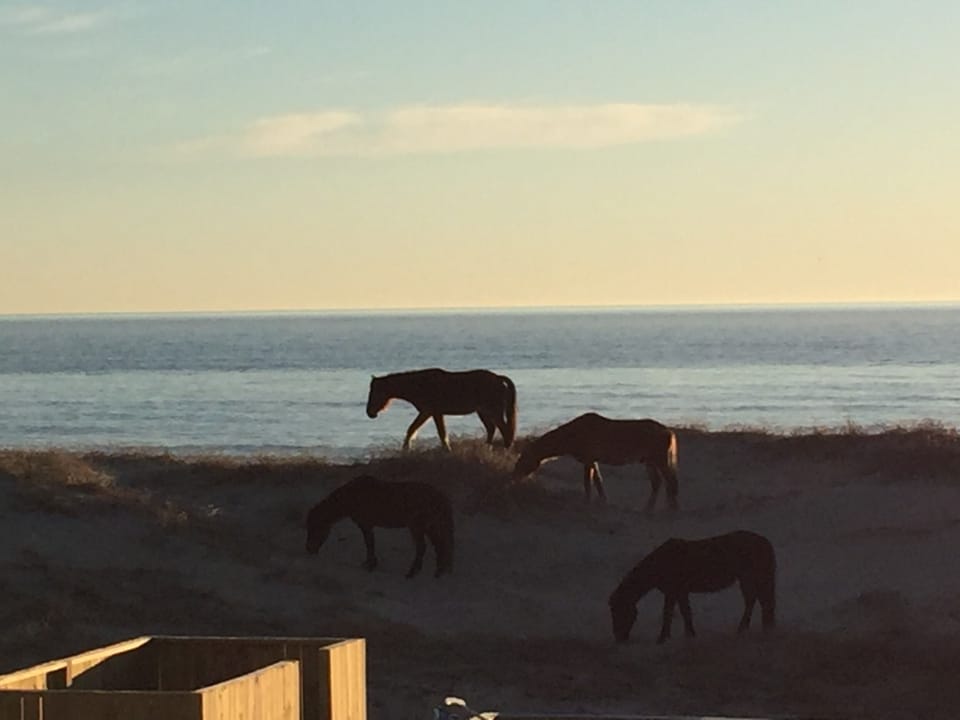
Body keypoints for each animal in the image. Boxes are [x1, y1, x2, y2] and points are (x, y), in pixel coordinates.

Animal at [305, 475, 454, 578]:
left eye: (314, 528)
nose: (309, 550)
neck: (351, 496)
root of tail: (442, 497)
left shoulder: (365, 524)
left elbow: (369, 544)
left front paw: (370, 565)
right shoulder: (367, 525)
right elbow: (370, 544)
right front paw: (370, 564)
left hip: (418, 527)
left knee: (424, 547)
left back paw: (411, 574)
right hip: (430, 527)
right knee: (440, 547)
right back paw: (437, 573)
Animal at [366, 368, 518, 451]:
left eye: (375, 392)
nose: (369, 413)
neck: (419, 384)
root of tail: (498, 378)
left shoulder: (431, 412)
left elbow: (439, 432)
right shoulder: (429, 413)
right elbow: (413, 429)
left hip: (493, 412)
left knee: (504, 430)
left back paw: (506, 449)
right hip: (484, 412)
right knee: (492, 429)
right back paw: (486, 448)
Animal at [511, 412, 678, 510]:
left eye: (523, 459)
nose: (514, 476)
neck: (571, 436)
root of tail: (669, 431)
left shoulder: (588, 460)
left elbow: (588, 483)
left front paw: (587, 502)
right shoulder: (593, 461)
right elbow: (598, 482)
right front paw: (603, 501)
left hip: (660, 459)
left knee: (671, 481)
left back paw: (671, 509)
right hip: (650, 461)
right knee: (657, 483)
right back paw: (648, 509)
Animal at [608, 530, 776, 644]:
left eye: (619, 612)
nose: (619, 638)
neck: (661, 563)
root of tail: (765, 542)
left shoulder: (672, 592)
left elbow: (668, 613)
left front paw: (662, 638)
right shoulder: (681, 592)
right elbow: (685, 612)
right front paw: (690, 635)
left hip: (749, 579)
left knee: (754, 601)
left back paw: (744, 629)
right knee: (759, 602)